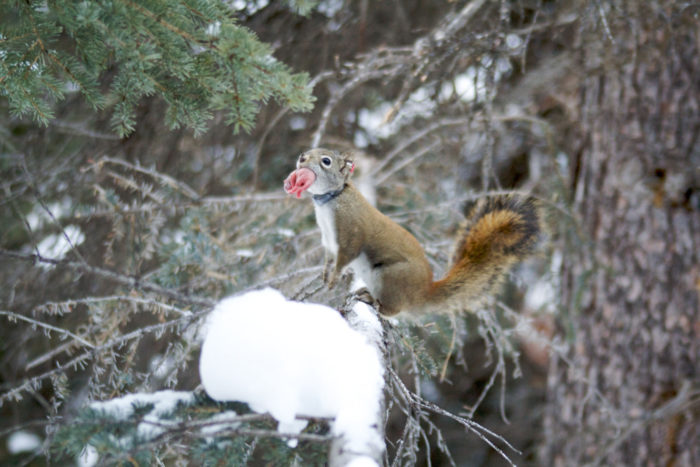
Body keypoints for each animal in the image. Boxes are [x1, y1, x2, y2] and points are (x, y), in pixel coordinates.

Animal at [284, 149, 540, 318]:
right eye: (310, 152)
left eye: (326, 161)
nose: (302, 157)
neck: (332, 199)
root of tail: (423, 293)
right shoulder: (329, 240)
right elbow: (330, 258)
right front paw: (326, 274)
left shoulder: (350, 232)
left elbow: (347, 254)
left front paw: (334, 279)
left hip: (390, 277)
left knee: (392, 311)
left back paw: (372, 300)